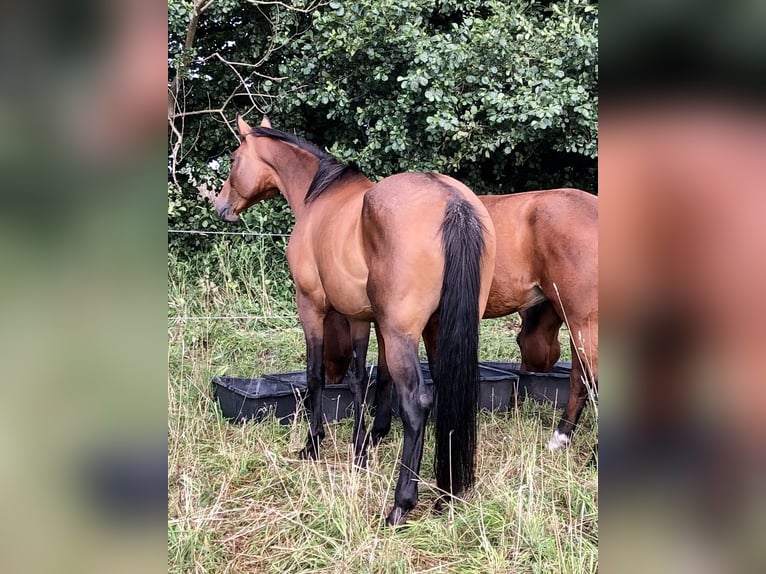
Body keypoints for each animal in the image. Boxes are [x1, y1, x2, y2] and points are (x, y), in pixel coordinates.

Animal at [213, 116, 498, 528]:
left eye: (234, 159)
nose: (221, 205)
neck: (319, 197)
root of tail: (453, 203)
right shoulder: (362, 317)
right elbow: (363, 378)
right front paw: (362, 449)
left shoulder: (312, 308)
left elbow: (317, 376)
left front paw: (313, 444)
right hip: (439, 330)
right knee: (447, 390)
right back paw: (446, 494)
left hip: (402, 334)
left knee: (417, 403)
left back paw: (401, 504)